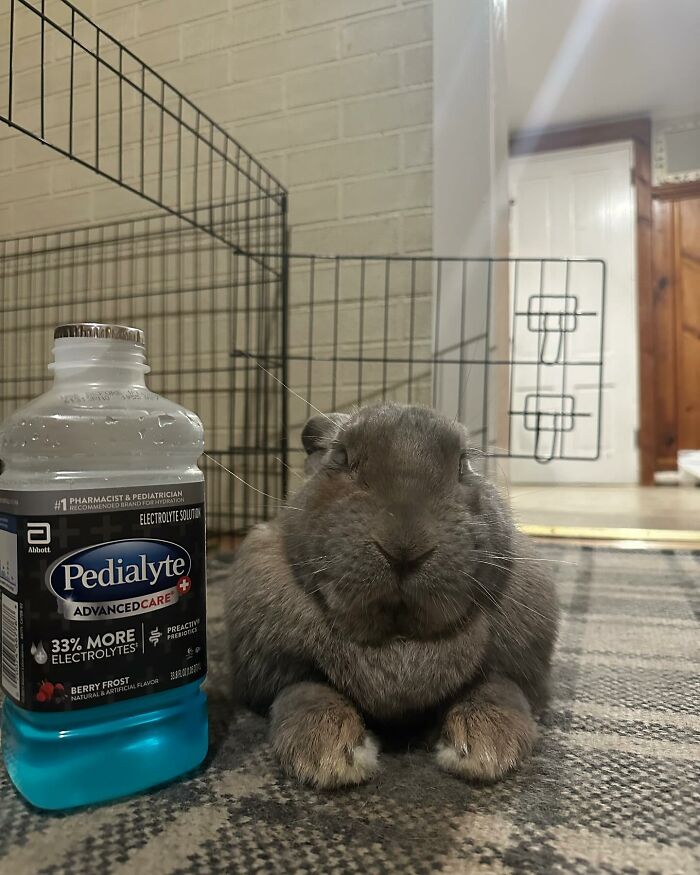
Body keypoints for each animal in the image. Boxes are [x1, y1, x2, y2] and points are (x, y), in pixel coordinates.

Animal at [225, 403, 559, 789]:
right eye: (341, 456)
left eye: (463, 464)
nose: (404, 549)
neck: (398, 638)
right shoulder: (278, 670)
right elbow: (304, 691)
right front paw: (328, 757)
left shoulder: (513, 670)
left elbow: (499, 688)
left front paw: (486, 748)